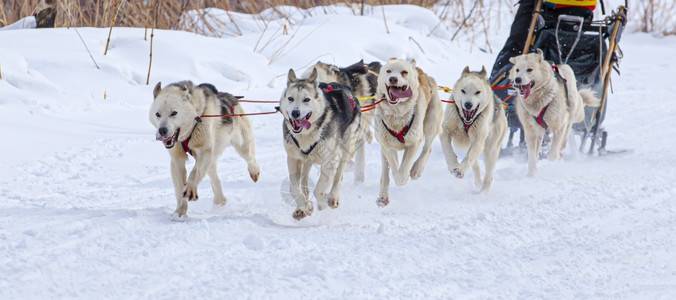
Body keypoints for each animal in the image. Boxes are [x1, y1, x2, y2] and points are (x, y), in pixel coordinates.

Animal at [149, 81, 260, 219]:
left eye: (174, 113)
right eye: (157, 114)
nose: (162, 130)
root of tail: (232, 98)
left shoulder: (204, 151)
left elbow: (194, 173)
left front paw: (190, 188)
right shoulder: (177, 160)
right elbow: (180, 188)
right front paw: (180, 211)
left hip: (242, 146)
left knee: (251, 159)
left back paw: (254, 172)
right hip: (211, 160)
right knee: (214, 178)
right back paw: (220, 200)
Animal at [280, 68, 364, 220]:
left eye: (306, 99)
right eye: (290, 98)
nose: (295, 113)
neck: (307, 134)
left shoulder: (330, 160)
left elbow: (319, 189)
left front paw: (322, 202)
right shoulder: (293, 159)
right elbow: (294, 188)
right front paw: (305, 206)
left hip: (345, 149)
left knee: (339, 176)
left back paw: (333, 197)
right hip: (306, 160)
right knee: (304, 181)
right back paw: (302, 207)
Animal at [372, 58, 440, 207]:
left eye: (404, 72)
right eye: (388, 71)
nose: (393, 79)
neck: (396, 115)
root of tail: (419, 70)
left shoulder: (413, 143)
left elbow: (401, 173)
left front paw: (406, 175)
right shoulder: (387, 146)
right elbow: (394, 167)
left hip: (431, 123)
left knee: (428, 148)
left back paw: (416, 170)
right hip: (383, 145)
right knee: (385, 171)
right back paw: (383, 196)